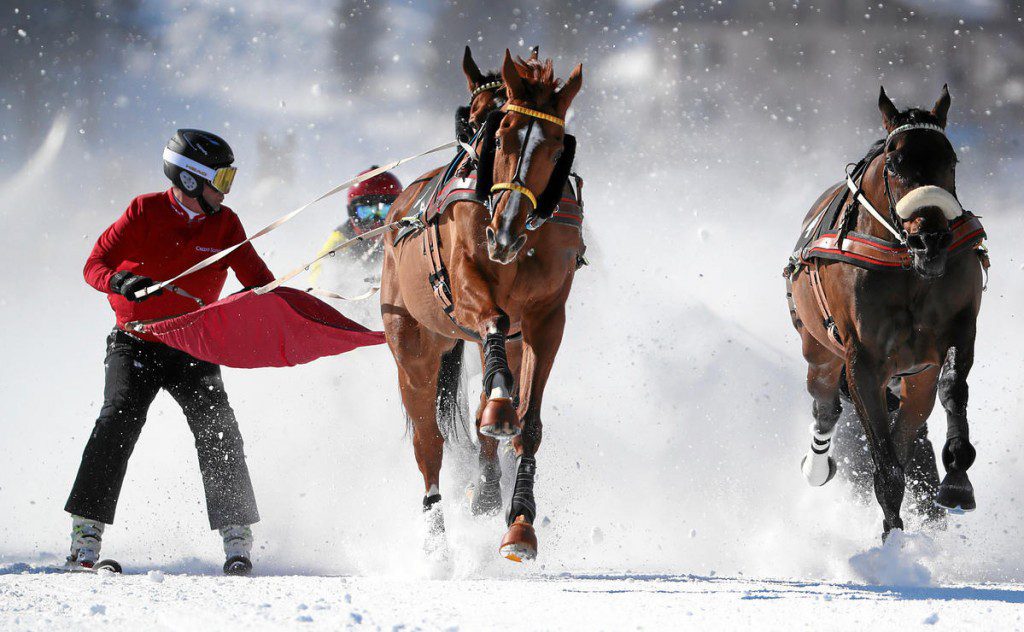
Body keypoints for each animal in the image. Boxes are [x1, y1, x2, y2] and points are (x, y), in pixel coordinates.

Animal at [378, 50, 585, 561]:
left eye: (556, 148)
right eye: (501, 131)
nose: (505, 231)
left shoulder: (547, 319)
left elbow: (529, 424)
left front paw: (520, 521)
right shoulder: (465, 273)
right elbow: (492, 317)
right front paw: (497, 412)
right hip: (412, 343)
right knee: (428, 443)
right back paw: (436, 541)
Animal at [786, 85, 987, 536]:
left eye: (950, 160)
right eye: (895, 164)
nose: (931, 239)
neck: (908, 267)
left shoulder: (957, 327)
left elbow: (952, 386)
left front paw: (957, 480)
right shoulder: (863, 358)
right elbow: (884, 457)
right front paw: (893, 536)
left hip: (914, 375)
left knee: (912, 417)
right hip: (817, 349)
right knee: (825, 405)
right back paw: (817, 465)